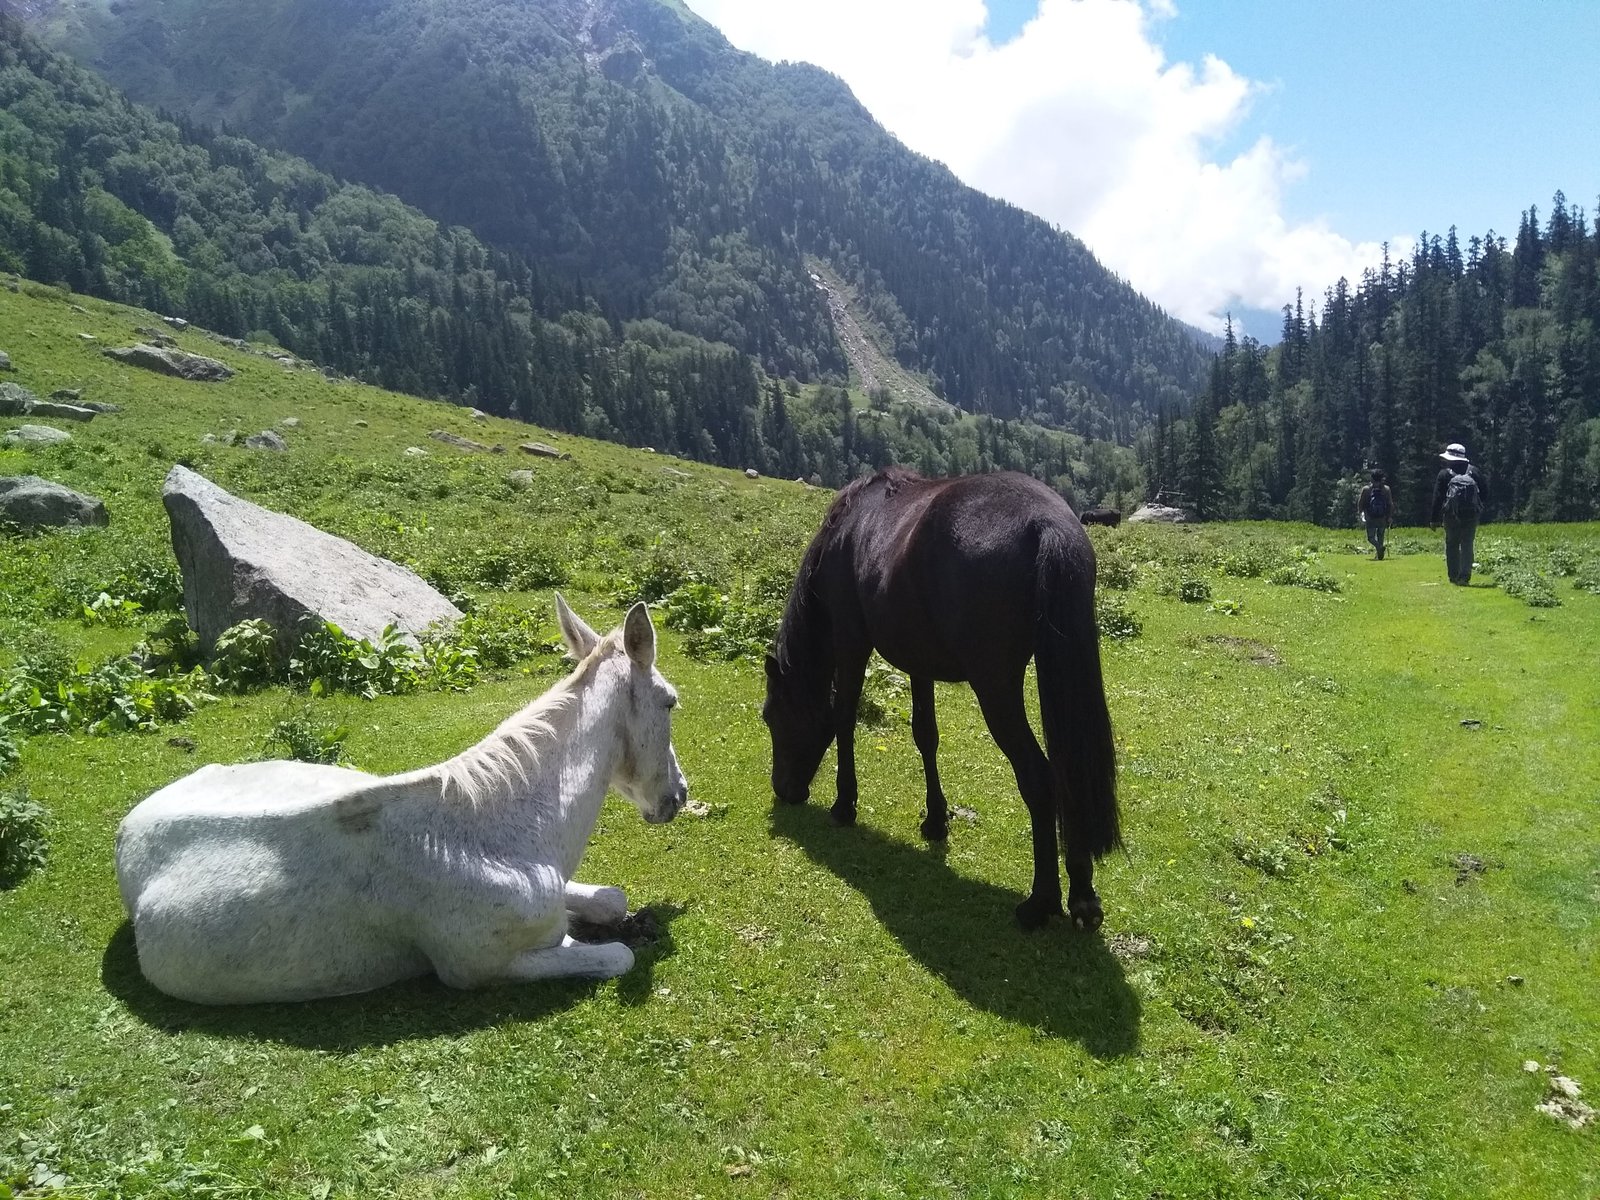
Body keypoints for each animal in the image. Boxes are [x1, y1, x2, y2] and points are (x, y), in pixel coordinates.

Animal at [112, 598, 688, 1004]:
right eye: (670, 702)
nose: (677, 797)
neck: (491, 831)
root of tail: (129, 826)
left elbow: (610, 899)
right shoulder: (478, 967)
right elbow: (616, 956)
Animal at [764, 467, 1126, 928]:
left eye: (772, 717)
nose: (783, 790)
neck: (846, 531)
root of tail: (1048, 522)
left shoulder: (851, 642)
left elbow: (844, 718)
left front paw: (845, 804)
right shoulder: (918, 662)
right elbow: (926, 736)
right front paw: (936, 820)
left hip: (995, 688)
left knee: (1039, 777)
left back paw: (1040, 902)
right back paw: (1082, 895)